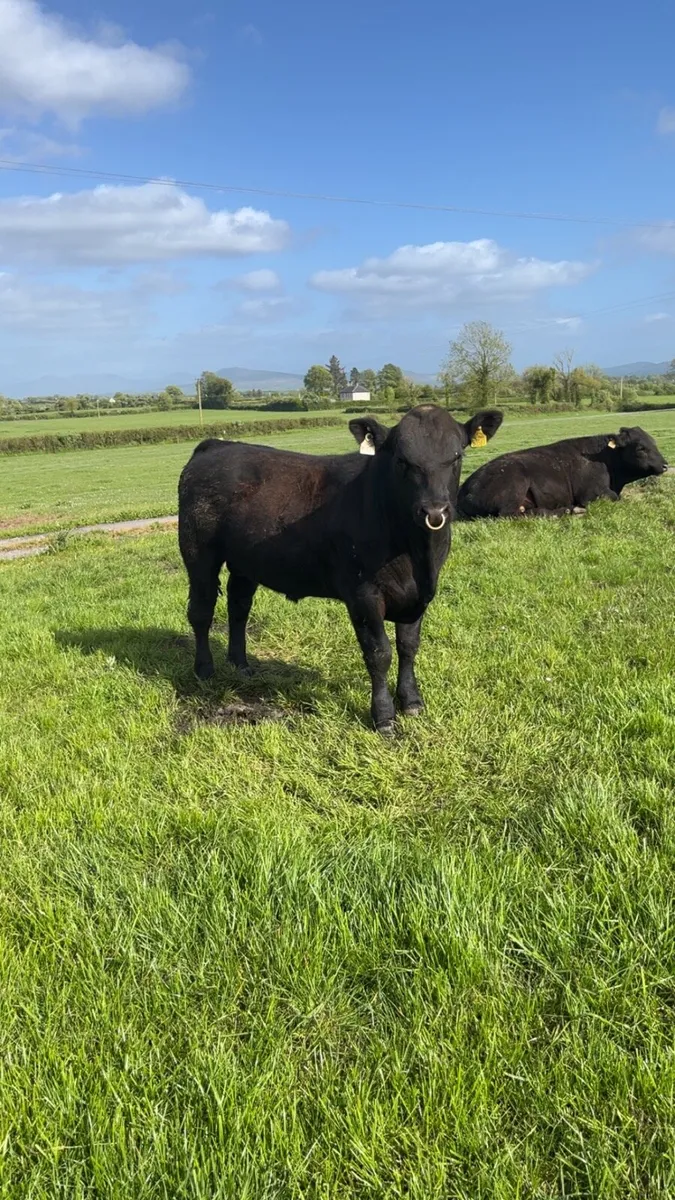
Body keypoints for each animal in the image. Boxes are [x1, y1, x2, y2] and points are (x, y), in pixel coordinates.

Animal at [178, 404, 503, 733]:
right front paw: (384, 716)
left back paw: (240, 664)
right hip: (197, 552)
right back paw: (204, 670)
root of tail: (219, 446)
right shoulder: (363, 595)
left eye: (456, 456)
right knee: (201, 611)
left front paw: (412, 701)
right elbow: (379, 653)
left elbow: (408, 646)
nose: (434, 511)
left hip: (245, 562)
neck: (416, 556)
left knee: (239, 607)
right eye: (402, 460)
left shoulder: (419, 595)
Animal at [458, 426, 669, 520]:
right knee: (510, 514)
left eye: (654, 442)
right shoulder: (591, 494)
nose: (666, 465)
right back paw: (567, 510)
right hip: (514, 485)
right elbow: (615, 498)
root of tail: (465, 487)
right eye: (641, 448)